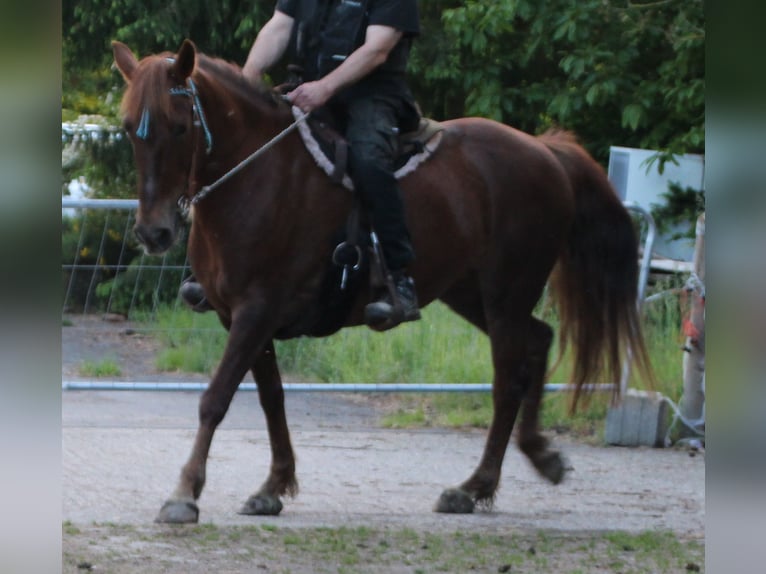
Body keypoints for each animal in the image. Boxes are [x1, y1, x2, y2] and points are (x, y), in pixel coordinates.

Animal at [112, 39, 656, 528]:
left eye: (179, 127)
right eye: (129, 130)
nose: (154, 232)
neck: (258, 176)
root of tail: (545, 150)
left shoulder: (256, 310)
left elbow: (216, 399)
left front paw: (184, 494)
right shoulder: (241, 317)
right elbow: (271, 399)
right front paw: (274, 486)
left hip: (507, 293)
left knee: (508, 381)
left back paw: (472, 487)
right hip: (470, 292)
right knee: (539, 341)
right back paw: (540, 455)